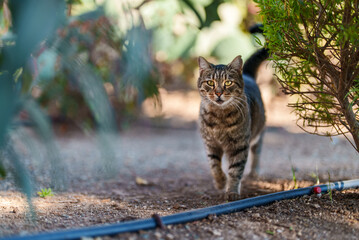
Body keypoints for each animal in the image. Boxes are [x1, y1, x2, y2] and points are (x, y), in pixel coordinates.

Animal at [198, 48, 268, 201]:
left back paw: (254, 172)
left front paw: (232, 191)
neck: (220, 117)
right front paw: (220, 182)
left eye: (228, 82)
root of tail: (246, 75)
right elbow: (214, 166)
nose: (218, 93)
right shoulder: (210, 143)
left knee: (257, 150)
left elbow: (235, 170)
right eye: (210, 82)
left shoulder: (239, 145)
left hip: (258, 132)